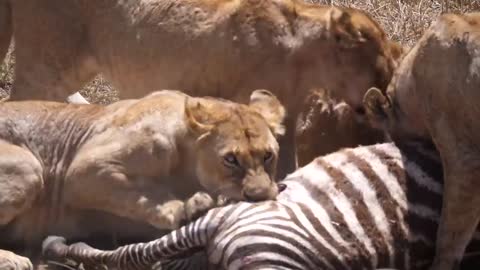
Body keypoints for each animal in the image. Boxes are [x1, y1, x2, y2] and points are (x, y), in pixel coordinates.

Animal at [0, 0, 404, 177]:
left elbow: (287, 159)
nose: (382, 100)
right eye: (380, 73)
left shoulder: (286, 116)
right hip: (51, 58)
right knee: (20, 101)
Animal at [0, 88, 284, 268]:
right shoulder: (83, 168)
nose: (259, 196)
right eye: (231, 159)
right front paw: (187, 209)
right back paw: (12, 259)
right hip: (29, 168)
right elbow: (145, 194)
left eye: (268, 155)